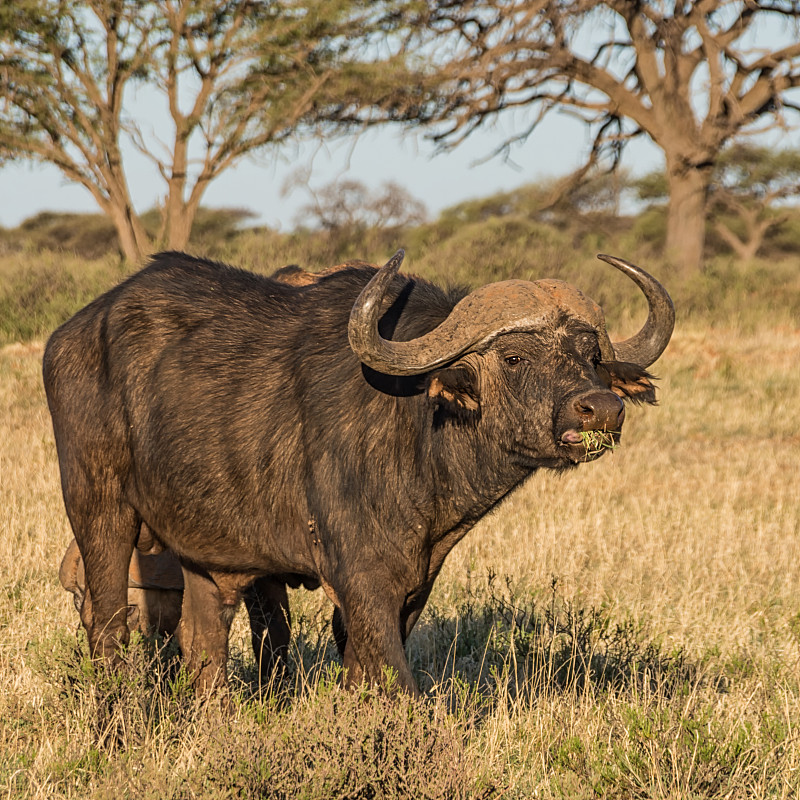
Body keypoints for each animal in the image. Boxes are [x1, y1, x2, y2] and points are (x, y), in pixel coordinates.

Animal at [43, 250, 676, 692]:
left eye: (590, 357)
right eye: (515, 356)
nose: (602, 408)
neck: (417, 425)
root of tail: (74, 332)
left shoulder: (413, 585)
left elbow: (360, 673)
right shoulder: (361, 579)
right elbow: (397, 683)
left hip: (205, 548)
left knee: (205, 649)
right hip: (98, 508)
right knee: (107, 626)